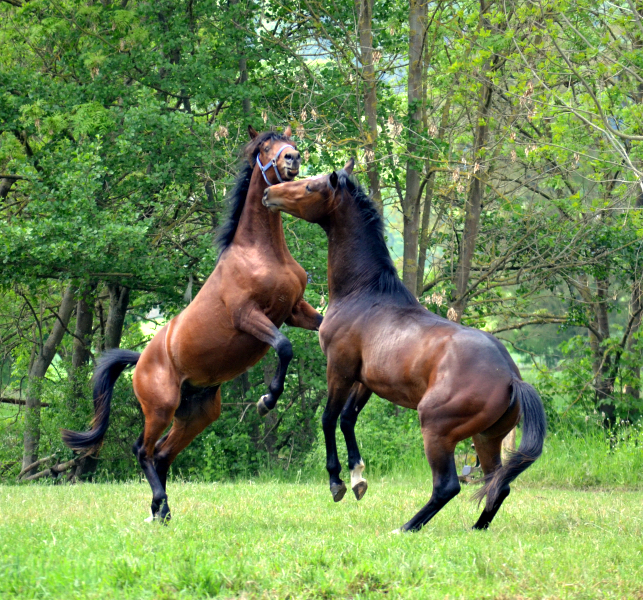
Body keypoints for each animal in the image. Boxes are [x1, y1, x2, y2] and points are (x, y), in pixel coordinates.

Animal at [63, 126, 322, 520]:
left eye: (288, 142)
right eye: (265, 147)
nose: (292, 158)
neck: (262, 253)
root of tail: (140, 360)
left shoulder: (295, 310)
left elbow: (322, 326)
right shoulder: (249, 317)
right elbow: (284, 346)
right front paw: (267, 399)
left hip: (197, 414)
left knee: (163, 454)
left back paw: (160, 510)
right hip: (160, 408)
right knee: (143, 450)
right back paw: (160, 506)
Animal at [264, 158, 544, 528]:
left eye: (310, 187)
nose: (268, 194)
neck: (364, 292)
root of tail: (512, 378)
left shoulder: (339, 367)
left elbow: (328, 417)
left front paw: (337, 481)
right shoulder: (365, 379)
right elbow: (347, 419)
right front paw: (358, 477)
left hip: (436, 430)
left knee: (448, 486)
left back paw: (406, 528)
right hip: (486, 438)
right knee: (497, 483)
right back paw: (476, 529)